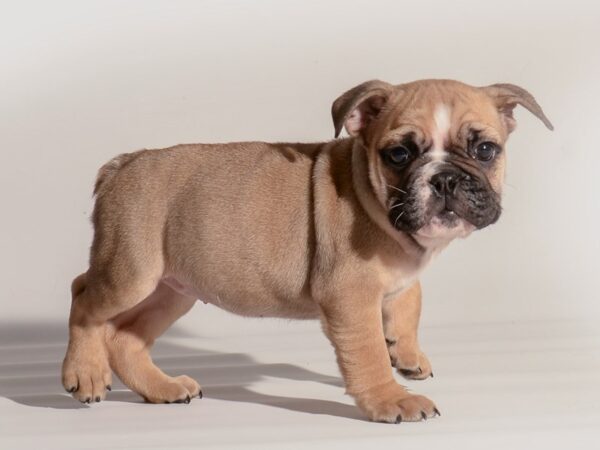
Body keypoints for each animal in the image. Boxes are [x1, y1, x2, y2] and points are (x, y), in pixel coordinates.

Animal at [62, 80, 552, 422]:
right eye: (399, 154)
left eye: (485, 149)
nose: (446, 178)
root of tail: (122, 164)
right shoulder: (349, 297)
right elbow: (368, 351)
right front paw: (390, 398)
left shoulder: (400, 275)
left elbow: (410, 301)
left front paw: (407, 354)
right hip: (130, 271)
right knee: (84, 296)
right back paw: (85, 373)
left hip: (172, 288)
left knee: (124, 337)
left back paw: (160, 388)